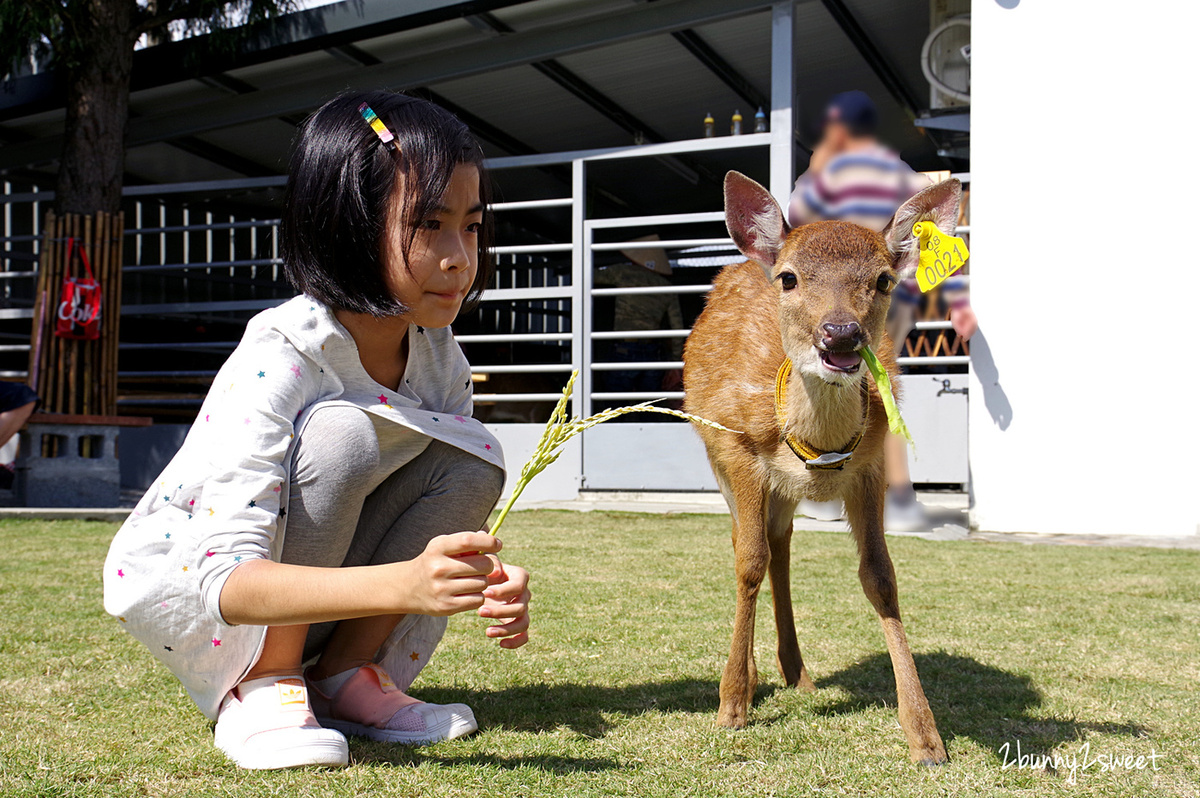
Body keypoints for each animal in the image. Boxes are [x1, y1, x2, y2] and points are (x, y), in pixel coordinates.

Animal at [681, 171, 960, 763]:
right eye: (789, 278)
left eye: (883, 279)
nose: (841, 334)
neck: (815, 447)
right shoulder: (738, 448)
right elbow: (748, 563)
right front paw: (731, 707)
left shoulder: (872, 465)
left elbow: (880, 575)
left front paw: (925, 736)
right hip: (718, 457)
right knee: (748, 541)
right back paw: (754, 676)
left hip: (784, 492)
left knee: (780, 543)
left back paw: (798, 673)